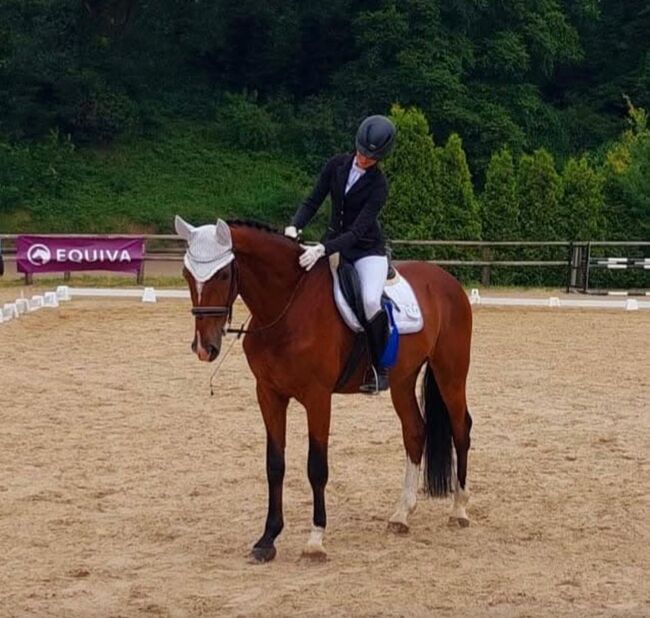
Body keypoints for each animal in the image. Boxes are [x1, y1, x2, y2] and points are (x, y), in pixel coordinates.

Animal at [175, 216, 473, 562]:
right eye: (186, 275)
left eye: (223, 274)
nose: (204, 348)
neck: (286, 306)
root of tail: (447, 279)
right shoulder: (269, 394)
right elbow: (274, 464)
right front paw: (267, 539)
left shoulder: (317, 398)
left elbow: (316, 466)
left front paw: (315, 540)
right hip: (402, 379)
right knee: (415, 431)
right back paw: (401, 515)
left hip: (450, 373)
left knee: (461, 429)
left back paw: (459, 510)